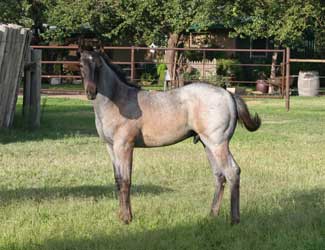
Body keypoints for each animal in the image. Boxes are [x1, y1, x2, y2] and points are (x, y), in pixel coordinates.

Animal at [79, 49, 260, 225]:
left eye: (99, 66)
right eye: (81, 66)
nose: (91, 92)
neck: (118, 101)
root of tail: (228, 95)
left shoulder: (124, 146)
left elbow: (126, 181)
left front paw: (126, 218)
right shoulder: (110, 147)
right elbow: (118, 180)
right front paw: (121, 216)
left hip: (218, 144)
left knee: (232, 172)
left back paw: (234, 220)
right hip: (207, 144)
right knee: (219, 175)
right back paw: (212, 215)